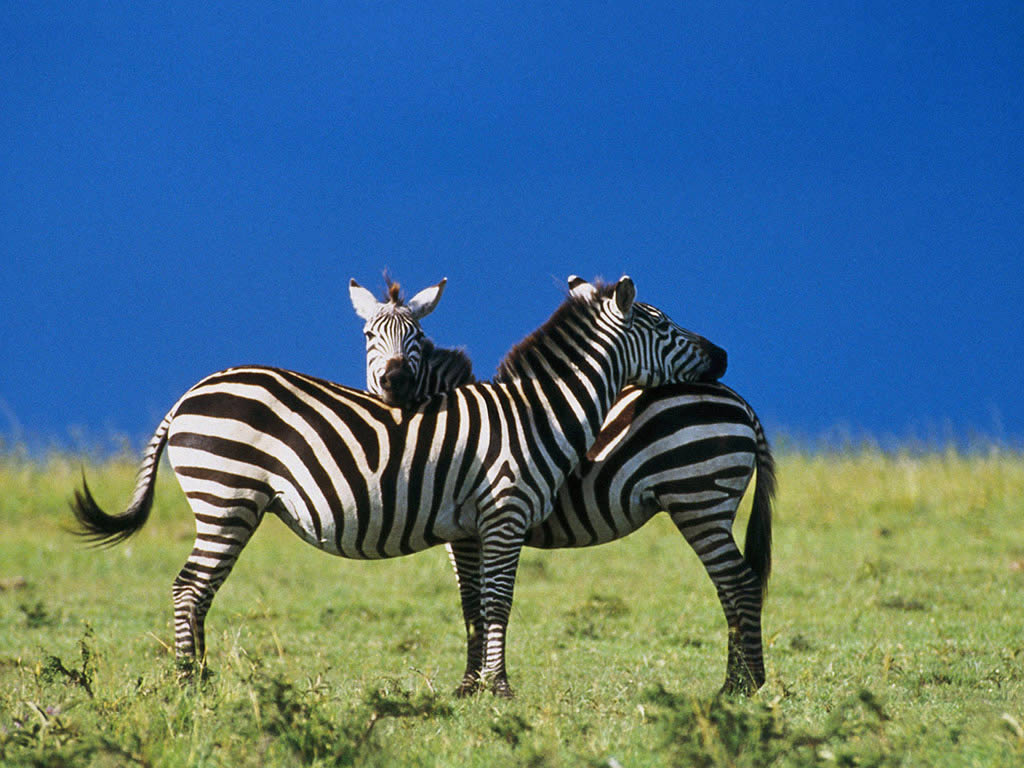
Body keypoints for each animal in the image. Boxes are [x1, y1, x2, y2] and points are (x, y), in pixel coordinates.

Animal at [71, 275, 728, 697]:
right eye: (664, 324)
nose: (723, 357)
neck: (533, 414)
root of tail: (190, 393)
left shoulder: (471, 523)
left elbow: (476, 604)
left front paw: (476, 688)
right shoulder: (504, 511)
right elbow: (498, 602)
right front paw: (500, 689)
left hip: (230, 502)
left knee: (199, 589)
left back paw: (201, 678)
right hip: (226, 495)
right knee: (189, 587)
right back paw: (190, 684)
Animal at [353, 276, 775, 695]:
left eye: (418, 337)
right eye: (369, 336)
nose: (396, 383)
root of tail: (740, 401)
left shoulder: (471, 528)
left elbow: (478, 600)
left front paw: (475, 684)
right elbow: (473, 600)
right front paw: (474, 683)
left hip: (699, 498)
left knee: (739, 584)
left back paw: (741, 685)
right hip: (709, 506)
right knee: (729, 587)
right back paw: (739, 680)